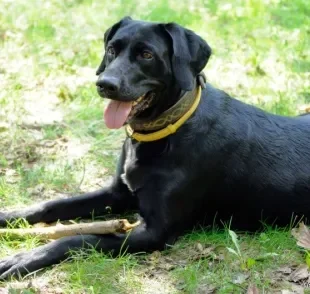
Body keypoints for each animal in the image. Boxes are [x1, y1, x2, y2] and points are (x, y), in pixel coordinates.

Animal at [0, 16, 310, 280]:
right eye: (111, 50)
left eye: (147, 55)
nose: (104, 84)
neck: (165, 131)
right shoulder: (118, 193)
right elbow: (51, 204)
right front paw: (8, 216)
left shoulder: (154, 232)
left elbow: (80, 238)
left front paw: (24, 258)